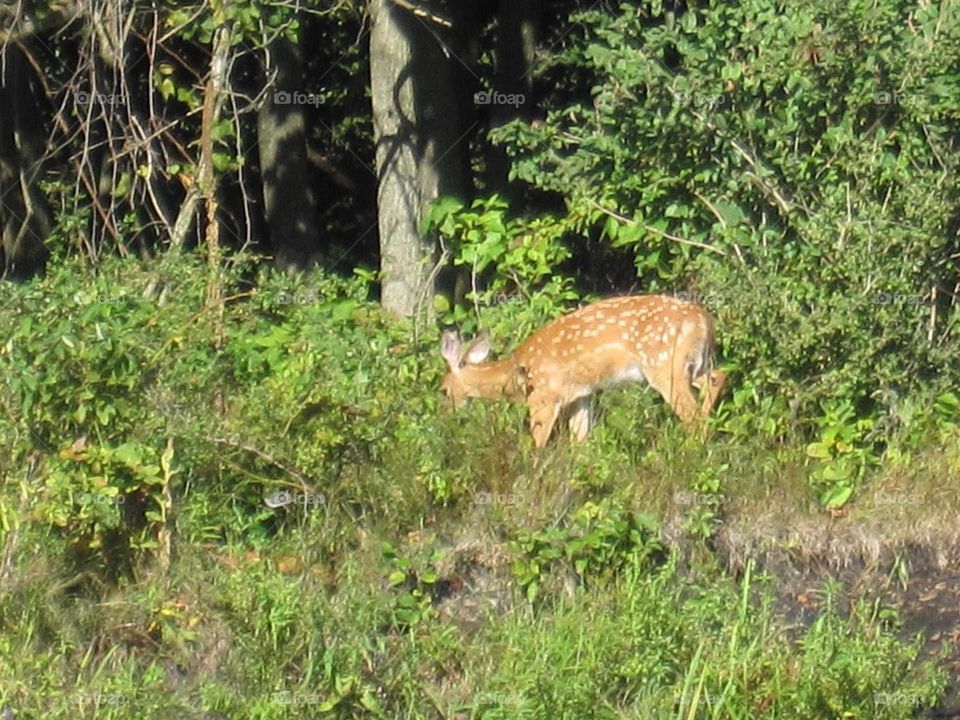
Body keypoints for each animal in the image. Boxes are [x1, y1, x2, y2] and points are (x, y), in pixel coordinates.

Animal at [440, 295, 727, 448]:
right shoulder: (581, 395)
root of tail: (704, 319)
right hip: (695, 363)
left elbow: (538, 443)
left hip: (664, 364)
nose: (447, 416)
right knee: (717, 377)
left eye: (442, 390)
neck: (515, 375)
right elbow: (581, 439)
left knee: (692, 414)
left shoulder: (543, 396)